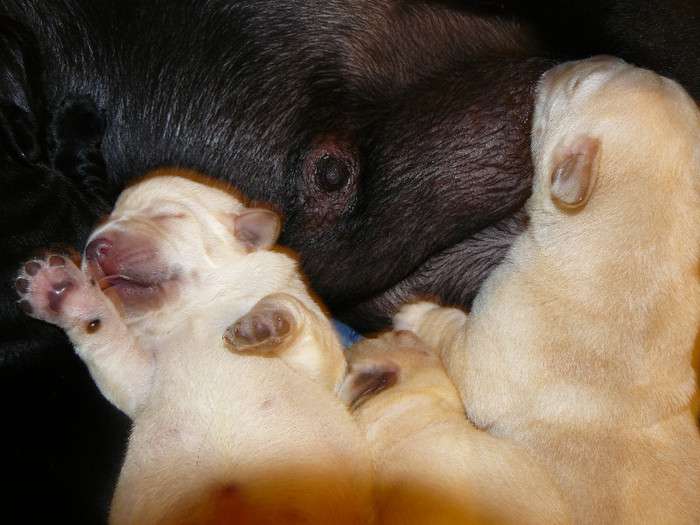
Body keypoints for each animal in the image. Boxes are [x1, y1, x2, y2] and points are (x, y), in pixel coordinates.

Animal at [13, 170, 374, 520]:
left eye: (167, 215)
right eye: (104, 222)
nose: (93, 247)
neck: (199, 308)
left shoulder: (326, 365)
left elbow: (295, 313)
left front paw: (266, 319)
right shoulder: (141, 381)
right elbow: (112, 345)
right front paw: (64, 292)